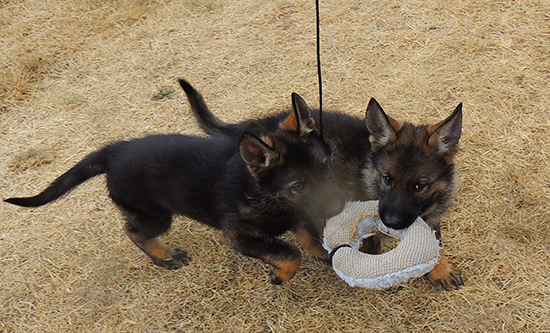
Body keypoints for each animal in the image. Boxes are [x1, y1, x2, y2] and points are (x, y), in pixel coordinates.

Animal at [5, 89, 344, 284]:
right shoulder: (239, 236)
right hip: (156, 215)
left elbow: (310, 237)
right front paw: (281, 274)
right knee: (133, 231)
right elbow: (289, 252)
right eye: (298, 186)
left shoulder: (297, 214)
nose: (340, 206)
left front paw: (324, 255)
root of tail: (113, 152)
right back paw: (164, 256)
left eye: (327, 168)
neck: (264, 193)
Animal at [181, 80, 466, 288]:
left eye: (420, 186)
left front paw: (440, 268)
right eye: (387, 179)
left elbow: (434, 240)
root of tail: (255, 125)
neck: (369, 170)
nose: (392, 222)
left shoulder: (428, 215)